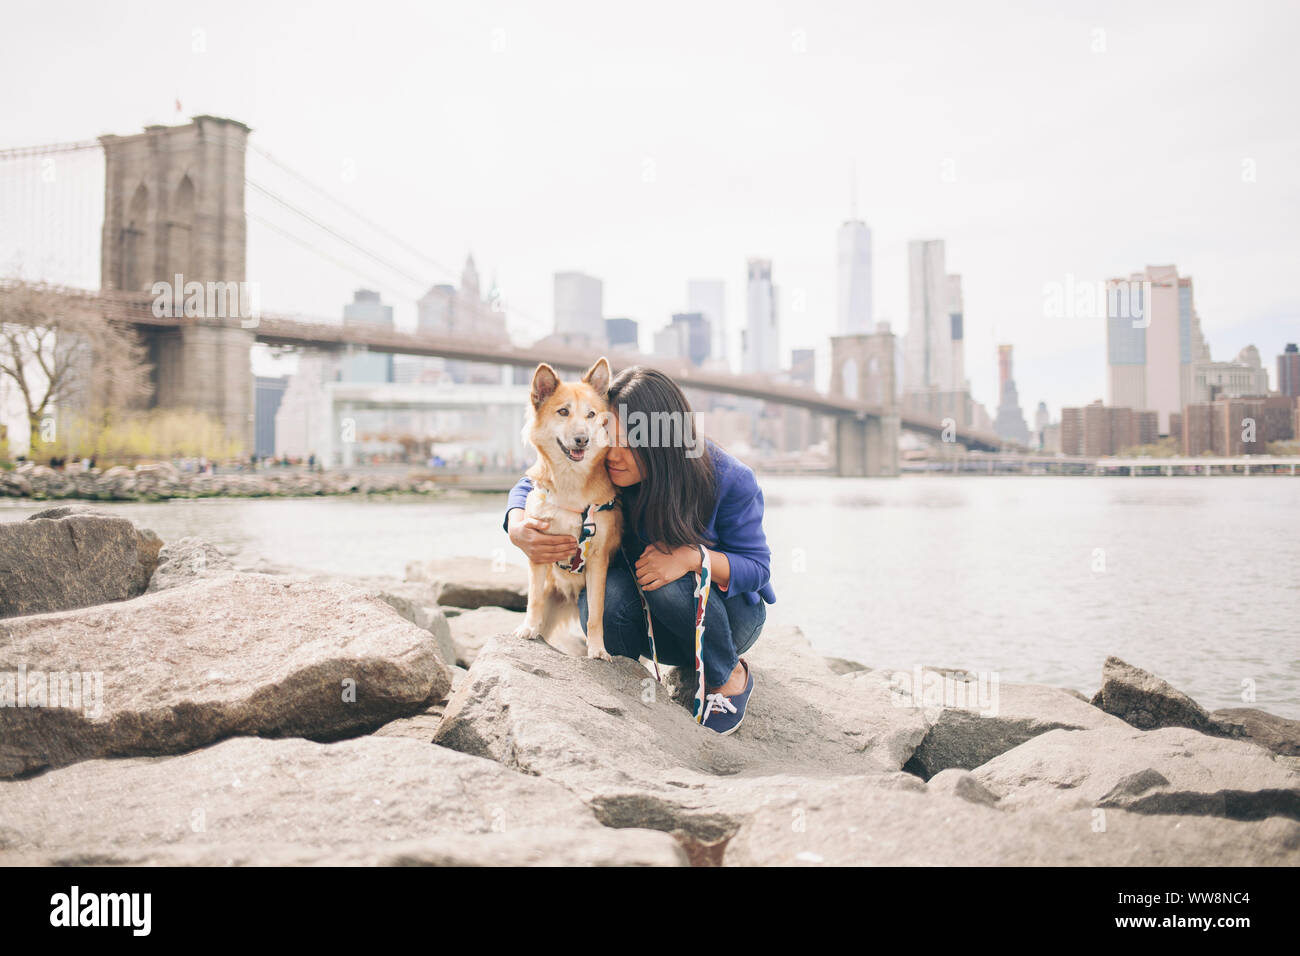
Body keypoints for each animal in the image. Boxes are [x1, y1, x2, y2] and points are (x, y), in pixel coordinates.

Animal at [512, 356, 624, 660]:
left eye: (591, 415)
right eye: (563, 411)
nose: (582, 439)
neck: (571, 486)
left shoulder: (597, 559)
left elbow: (596, 613)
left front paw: (598, 649)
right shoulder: (538, 550)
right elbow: (534, 599)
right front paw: (528, 628)